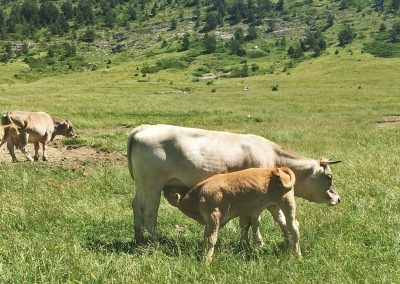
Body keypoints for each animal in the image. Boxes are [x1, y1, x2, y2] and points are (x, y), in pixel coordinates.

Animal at [128, 124, 340, 244]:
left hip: (141, 185)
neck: (273, 156)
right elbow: (255, 220)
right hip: (153, 186)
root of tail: (143, 128)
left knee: (137, 206)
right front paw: (257, 243)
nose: (337, 198)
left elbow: (271, 219)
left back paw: (139, 238)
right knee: (150, 211)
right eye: (329, 177)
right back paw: (155, 241)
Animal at [163, 166, 300, 262]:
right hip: (274, 207)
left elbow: (211, 238)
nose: (164, 186)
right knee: (284, 224)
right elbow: (207, 236)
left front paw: (207, 259)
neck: (197, 196)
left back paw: (297, 255)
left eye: (171, 189)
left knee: (293, 227)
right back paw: (289, 248)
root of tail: (275, 170)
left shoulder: (214, 216)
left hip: (287, 203)